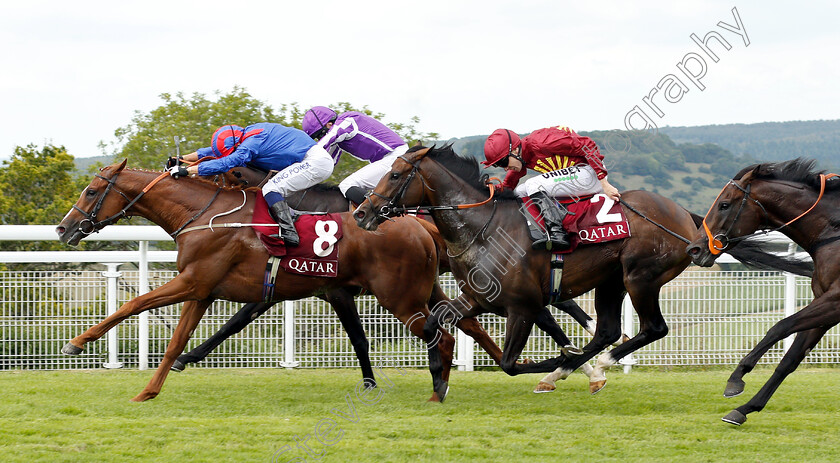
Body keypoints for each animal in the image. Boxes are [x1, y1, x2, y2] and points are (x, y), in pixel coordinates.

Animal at [352, 147, 812, 400]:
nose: (361, 213)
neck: (482, 227)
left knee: (650, 329)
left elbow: (512, 364)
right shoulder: (478, 298)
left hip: (639, 277)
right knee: (608, 329)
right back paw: (580, 366)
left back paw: (589, 365)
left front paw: (560, 362)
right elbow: (436, 322)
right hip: (611, 282)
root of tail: (688, 218)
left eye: (395, 174)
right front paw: (438, 380)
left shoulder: (524, 306)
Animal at [684, 158, 836, 426]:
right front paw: (744, 409)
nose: (694, 249)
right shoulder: (825, 304)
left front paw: (736, 378)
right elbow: (789, 360)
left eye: (724, 204)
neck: (833, 231)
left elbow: (780, 326)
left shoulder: (835, 300)